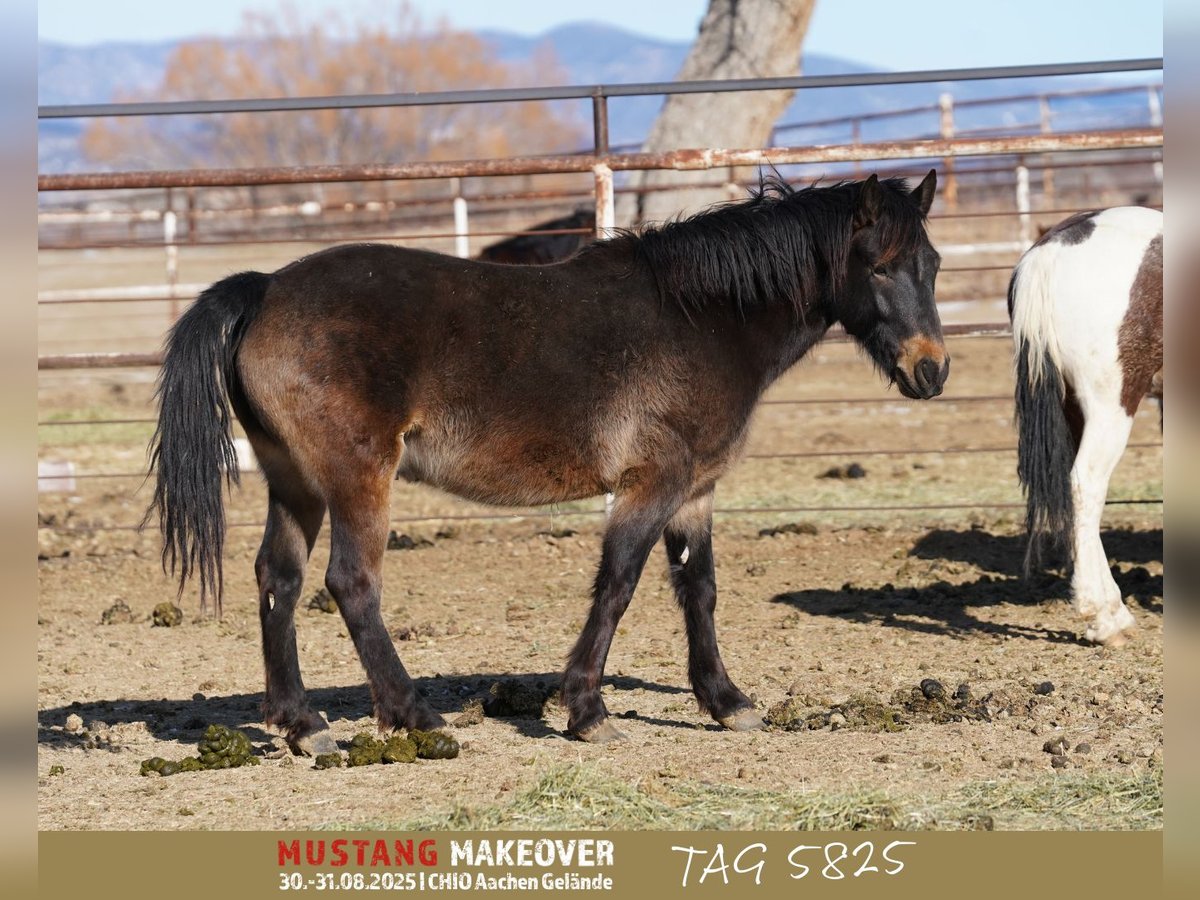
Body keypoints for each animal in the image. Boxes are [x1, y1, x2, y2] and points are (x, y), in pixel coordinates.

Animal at [145, 172, 945, 748]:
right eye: (878, 268)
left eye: (931, 265)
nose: (931, 370)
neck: (704, 318)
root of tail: (266, 289)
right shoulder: (652, 485)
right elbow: (618, 585)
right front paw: (587, 711)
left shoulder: (696, 493)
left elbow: (700, 591)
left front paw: (726, 702)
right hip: (356, 478)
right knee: (351, 583)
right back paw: (413, 716)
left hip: (296, 484)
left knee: (276, 581)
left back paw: (302, 724)